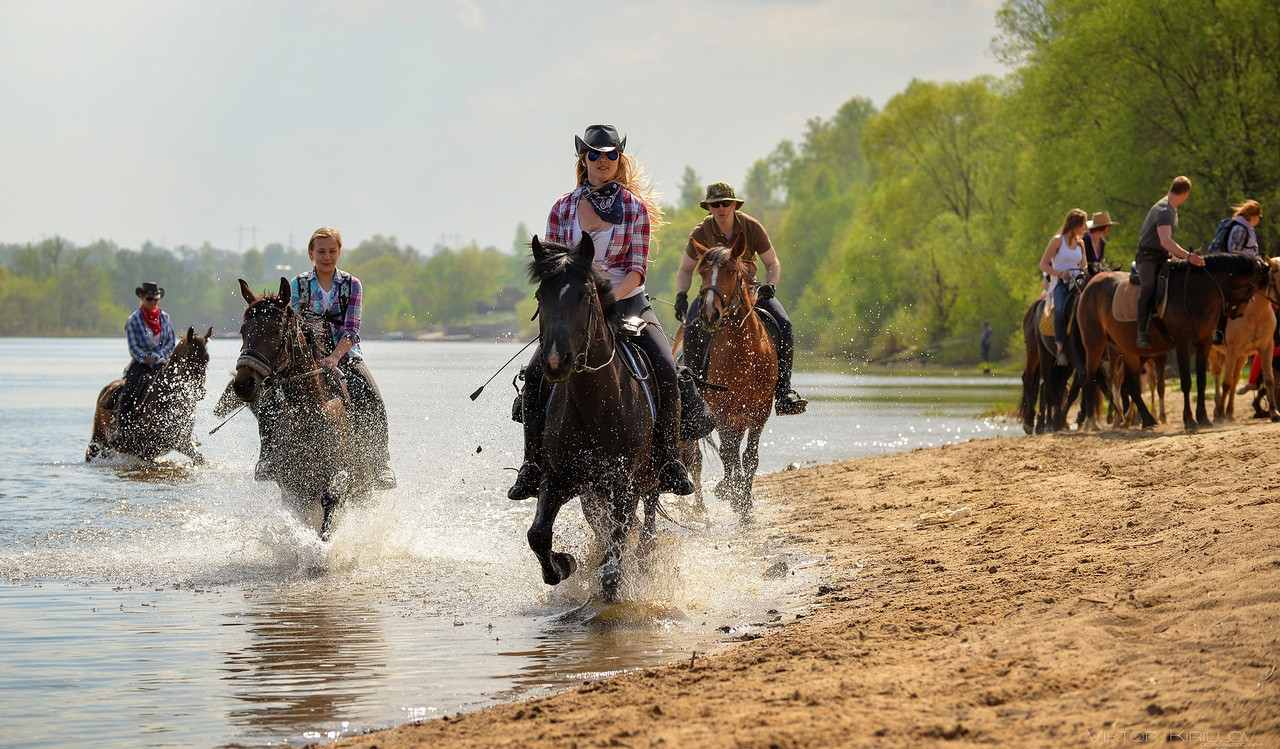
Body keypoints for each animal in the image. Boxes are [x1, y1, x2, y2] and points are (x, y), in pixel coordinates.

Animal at [87, 327, 213, 460]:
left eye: (207, 359)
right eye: (187, 358)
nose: (199, 391)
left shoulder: (179, 440)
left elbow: (199, 458)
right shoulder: (150, 448)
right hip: (98, 438)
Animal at [231, 276, 373, 537]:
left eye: (276, 330)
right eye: (243, 331)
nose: (243, 384)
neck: (310, 416)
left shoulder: (343, 474)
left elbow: (331, 496)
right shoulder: (292, 488)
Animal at [522, 236, 660, 604]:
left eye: (585, 295)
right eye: (541, 296)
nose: (556, 361)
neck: (596, 407)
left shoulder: (626, 486)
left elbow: (613, 564)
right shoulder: (557, 478)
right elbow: (538, 534)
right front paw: (563, 564)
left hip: (651, 480)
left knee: (646, 526)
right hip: (592, 493)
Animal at [680, 239, 778, 514]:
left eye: (732, 272)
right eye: (703, 272)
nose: (709, 314)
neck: (744, 353)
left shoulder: (760, 411)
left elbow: (750, 456)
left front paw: (746, 505)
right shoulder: (723, 409)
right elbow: (729, 452)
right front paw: (732, 495)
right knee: (705, 456)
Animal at [1080, 252, 1269, 432]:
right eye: (1256, 287)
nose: (1238, 314)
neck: (1196, 290)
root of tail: (1092, 283)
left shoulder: (1204, 343)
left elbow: (1201, 381)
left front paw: (1203, 418)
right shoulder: (1182, 344)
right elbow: (1186, 382)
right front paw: (1189, 420)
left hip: (1127, 348)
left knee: (1130, 383)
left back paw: (1147, 419)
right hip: (1095, 345)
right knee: (1090, 379)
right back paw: (1092, 422)